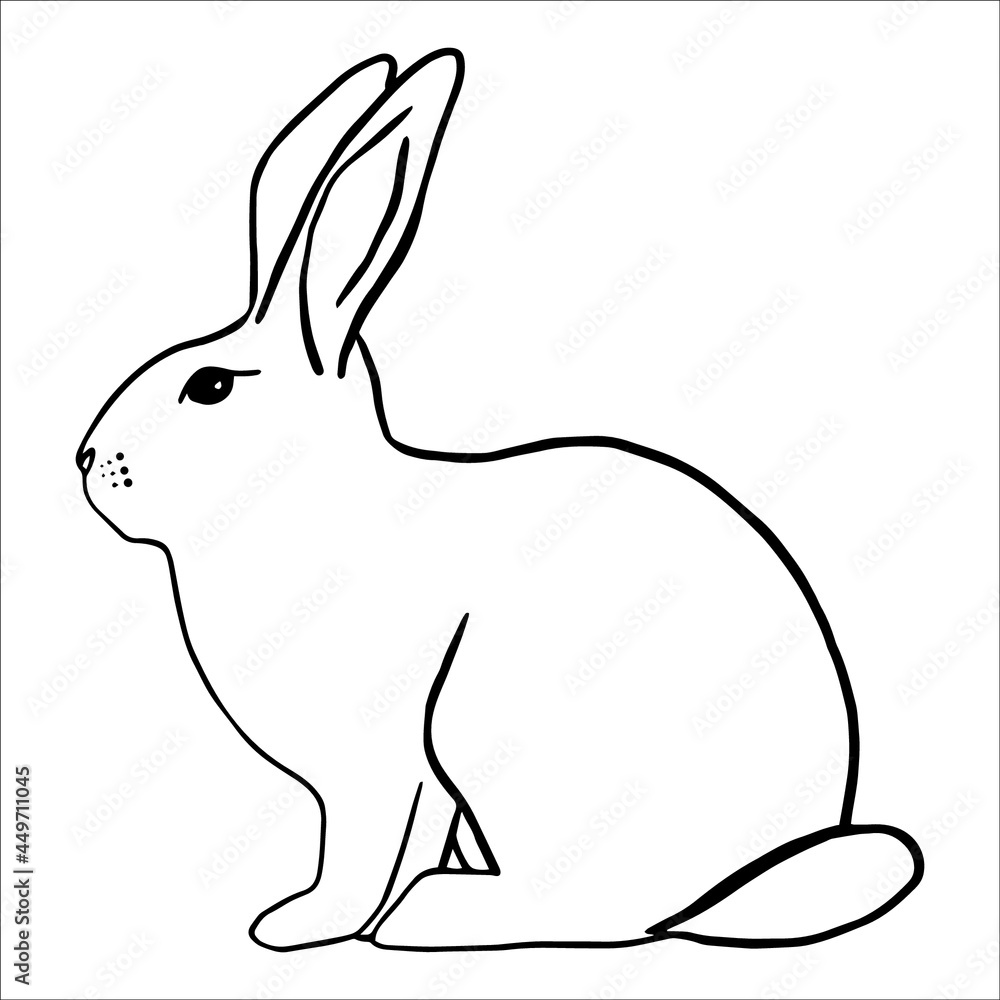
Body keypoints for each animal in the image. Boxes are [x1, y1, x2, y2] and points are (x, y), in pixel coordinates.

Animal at [76, 49, 922, 952]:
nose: (87, 461)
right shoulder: (409, 782)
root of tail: (734, 886)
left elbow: (362, 846)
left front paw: (298, 923)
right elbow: (414, 831)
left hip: (498, 726)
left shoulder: (372, 763)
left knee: (597, 905)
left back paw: (430, 918)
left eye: (209, 387)